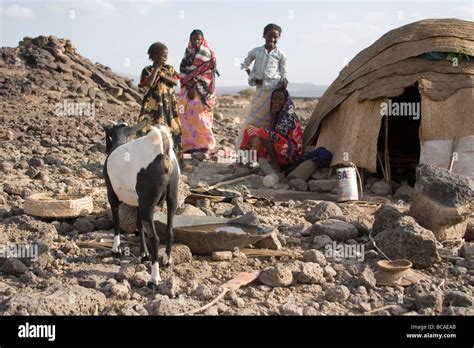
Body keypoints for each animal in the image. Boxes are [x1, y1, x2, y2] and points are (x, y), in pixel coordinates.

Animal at [103, 120, 180, 286]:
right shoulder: (139, 202)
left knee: (155, 238)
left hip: (148, 203)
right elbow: (139, 225)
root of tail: (163, 152)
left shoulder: (111, 193)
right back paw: (167, 260)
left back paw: (154, 278)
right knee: (170, 230)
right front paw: (143, 254)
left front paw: (116, 249)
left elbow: (117, 221)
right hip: (172, 197)